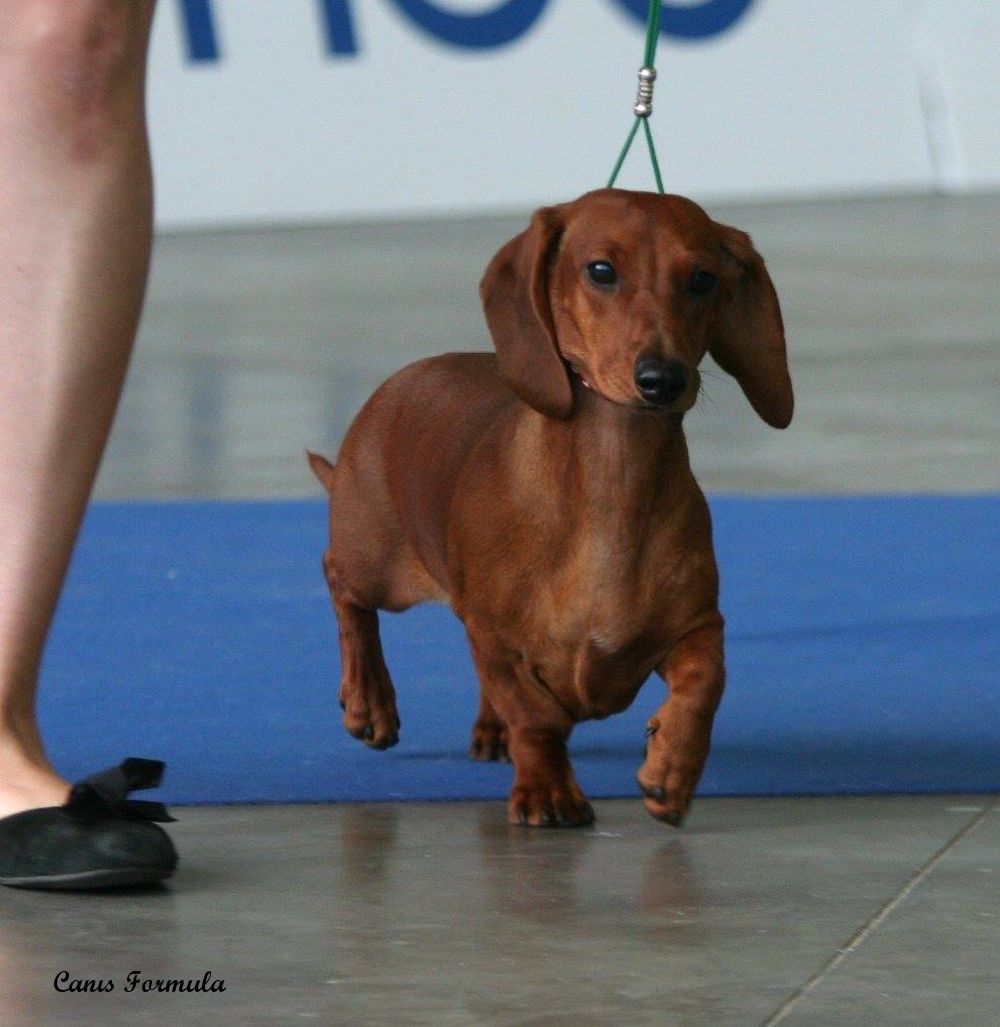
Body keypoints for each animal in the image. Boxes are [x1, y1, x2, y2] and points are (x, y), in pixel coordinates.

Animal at [310, 186, 792, 825]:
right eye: (601, 271)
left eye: (703, 279)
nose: (662, 379)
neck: (612, 484)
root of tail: (398, 384)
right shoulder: (497, 639)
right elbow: (535, 718)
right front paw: (547, 790)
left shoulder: (696, 624)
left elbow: (705, 682)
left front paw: (671, 766)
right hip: (376, 564)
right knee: (342, 587)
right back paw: (368, 702)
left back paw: (489, 732)